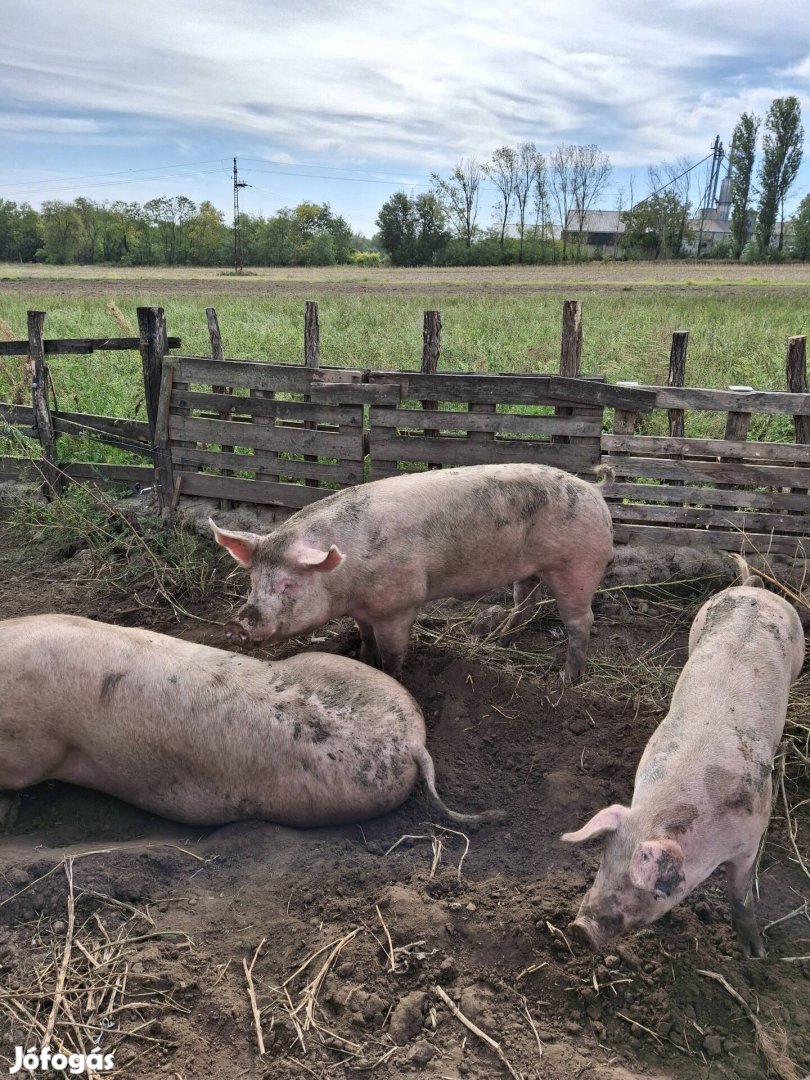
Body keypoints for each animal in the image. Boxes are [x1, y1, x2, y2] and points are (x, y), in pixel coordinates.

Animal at [210, 460, 613, 678]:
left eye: (288, 585)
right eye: (252, 581)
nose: (236, 624)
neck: (346, 580)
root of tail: (593, 489)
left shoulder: (399, 603)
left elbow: (393, 654)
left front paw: (390, 675)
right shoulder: (364, 610)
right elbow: (365, 638)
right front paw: (362, 661)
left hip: (578, 564)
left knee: (582, 620)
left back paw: (566, 677)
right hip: (530, 568)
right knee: (525, 603)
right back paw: (497, 640)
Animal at [565, 561, 807, 959]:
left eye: (651, 891)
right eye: (603, 862)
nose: (580, 929)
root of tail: (754, 588)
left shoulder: (752, 834)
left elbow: (740, 894)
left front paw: (755, 954)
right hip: (697, 626)